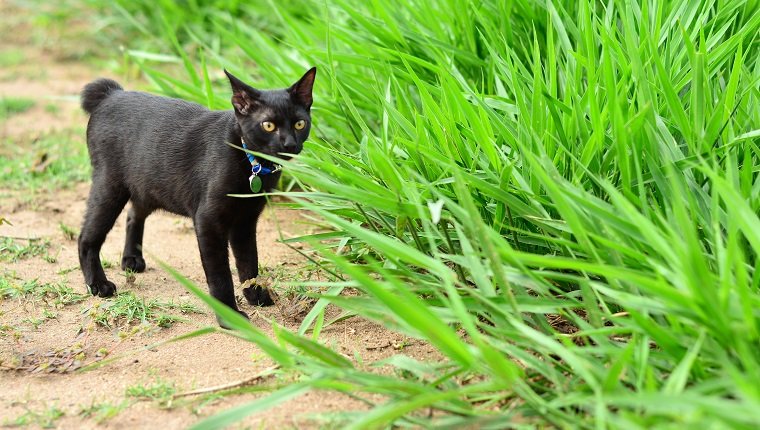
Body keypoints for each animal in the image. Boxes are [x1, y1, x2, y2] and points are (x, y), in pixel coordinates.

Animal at [77, 67, 314, 324]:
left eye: (300, 123)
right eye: (268, 125)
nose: (289, 144)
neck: (252, 164)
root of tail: (112, 94)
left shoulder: (245, 221)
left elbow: (249, 263)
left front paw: (257, 295)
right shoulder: (208, 220)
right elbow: (220, 273)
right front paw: (229, 316)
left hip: (148, 185)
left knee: (133, 214)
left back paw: (131, 259)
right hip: (110, 186)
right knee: (86, 237)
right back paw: (98, 284)